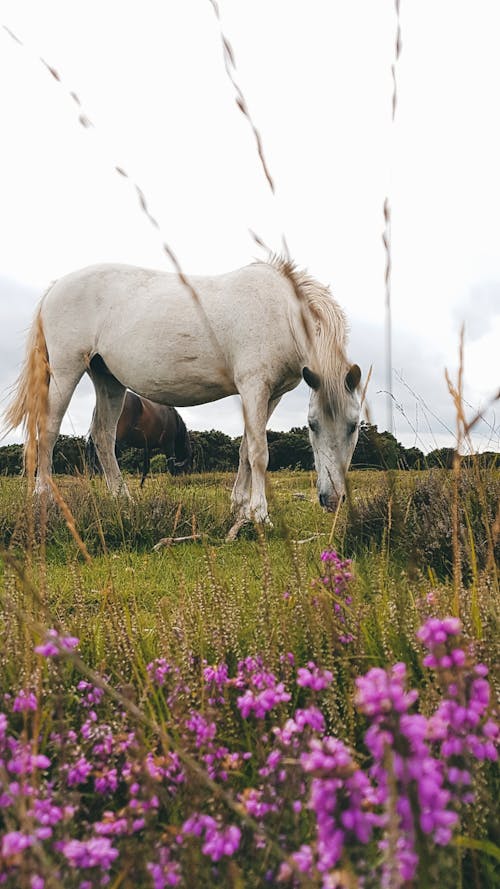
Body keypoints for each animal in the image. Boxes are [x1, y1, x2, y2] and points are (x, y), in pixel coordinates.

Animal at [5, 256, 362, 528]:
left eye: (354, 426)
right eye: (312, 425)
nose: (332, 500)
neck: (281, 312)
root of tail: (57, 286)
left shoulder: (271, 395)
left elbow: (245, 450)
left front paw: (239, 507)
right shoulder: (254, 388)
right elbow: (260, 452)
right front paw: (260, 515)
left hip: (107, 379)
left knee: (103, 437)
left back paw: (123, 500)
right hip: (66, 370)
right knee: (48, 431)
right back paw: (43, 498)